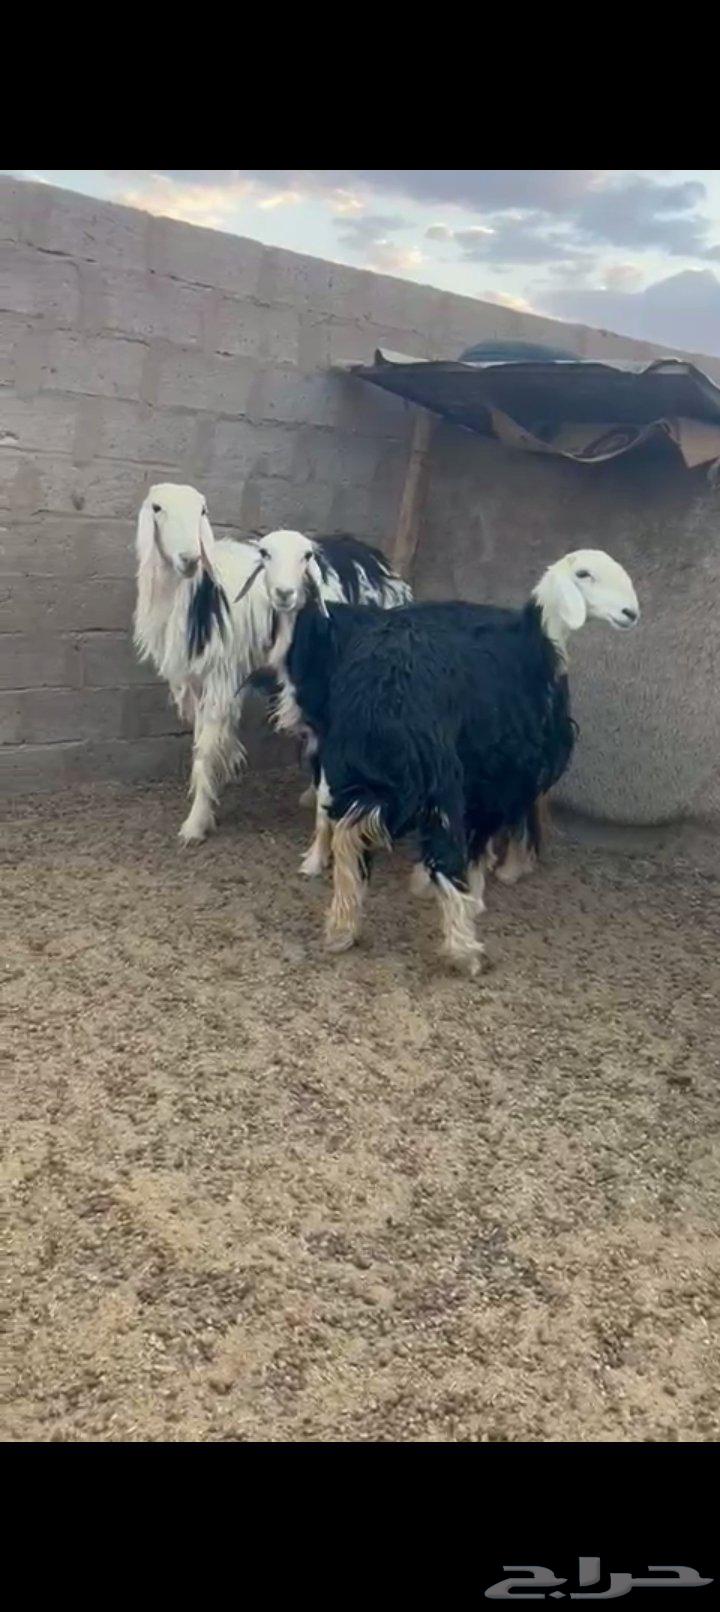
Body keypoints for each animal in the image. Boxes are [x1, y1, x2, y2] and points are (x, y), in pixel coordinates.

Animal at [133, 485, 412, 844]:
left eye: (202, 512)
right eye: (157, 508)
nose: (190, 559)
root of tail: (376, 560)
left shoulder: (222, 675)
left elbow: (206, 751)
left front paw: (195, 824)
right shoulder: (197, 681)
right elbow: (201, 745)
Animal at [277, 549, 640, 972]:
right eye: (584, 574)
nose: (630, 613)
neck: (536, 641)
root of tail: (386, 690)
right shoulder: (500, 770)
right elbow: (480, 836)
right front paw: (482, 889)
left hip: (358, 761)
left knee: (349, 831)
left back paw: (341, 927)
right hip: (438, 770)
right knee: (444, 847)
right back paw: (464, 949)